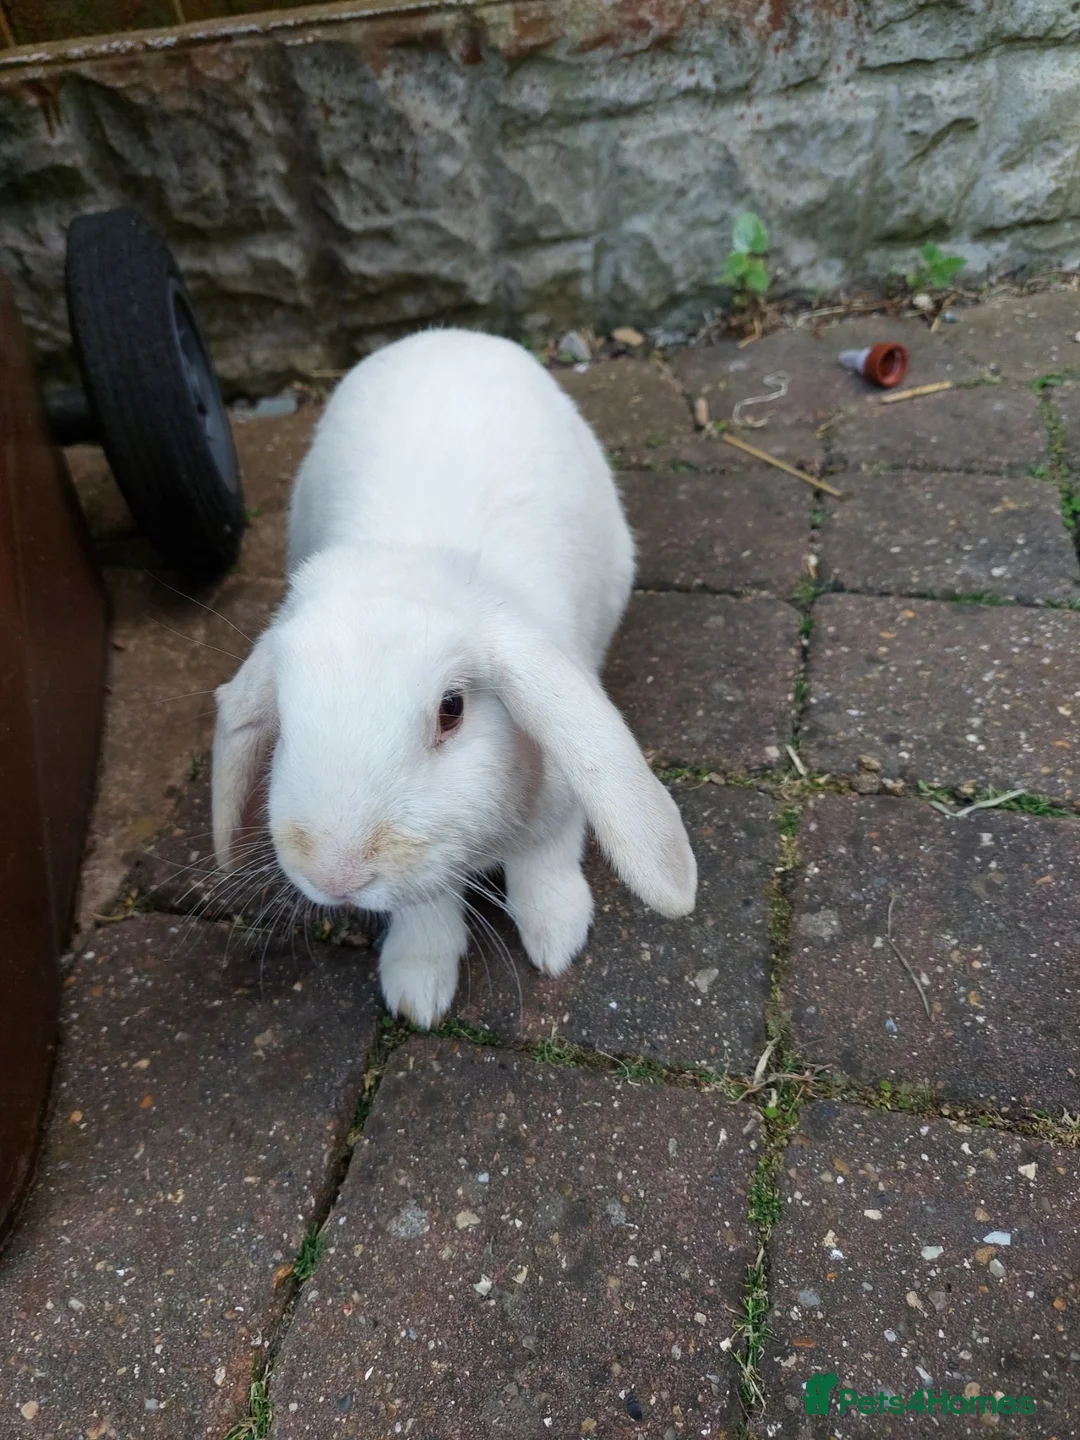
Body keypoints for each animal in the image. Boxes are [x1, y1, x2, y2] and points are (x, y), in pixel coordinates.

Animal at [212, 329, 696, 1029]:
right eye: (287, 721)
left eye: (452, 710)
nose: (334, 876)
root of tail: (445, 334)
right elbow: (423, 913)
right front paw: (417, 989)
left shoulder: (556, 813)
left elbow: (543, 867)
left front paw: (557, 937)